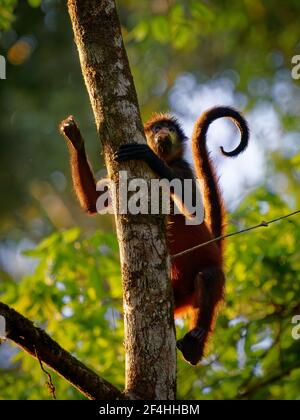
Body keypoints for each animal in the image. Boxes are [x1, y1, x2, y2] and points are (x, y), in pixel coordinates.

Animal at [59, 106, 248, 366]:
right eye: (157, 127)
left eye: (169, 128)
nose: (163, 132)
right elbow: (92, 203)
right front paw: (75, 141)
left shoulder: (182, 167)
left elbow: (194, 211)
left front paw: (149, 155)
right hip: (179, 294)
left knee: (209, 276)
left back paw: (194, 345)